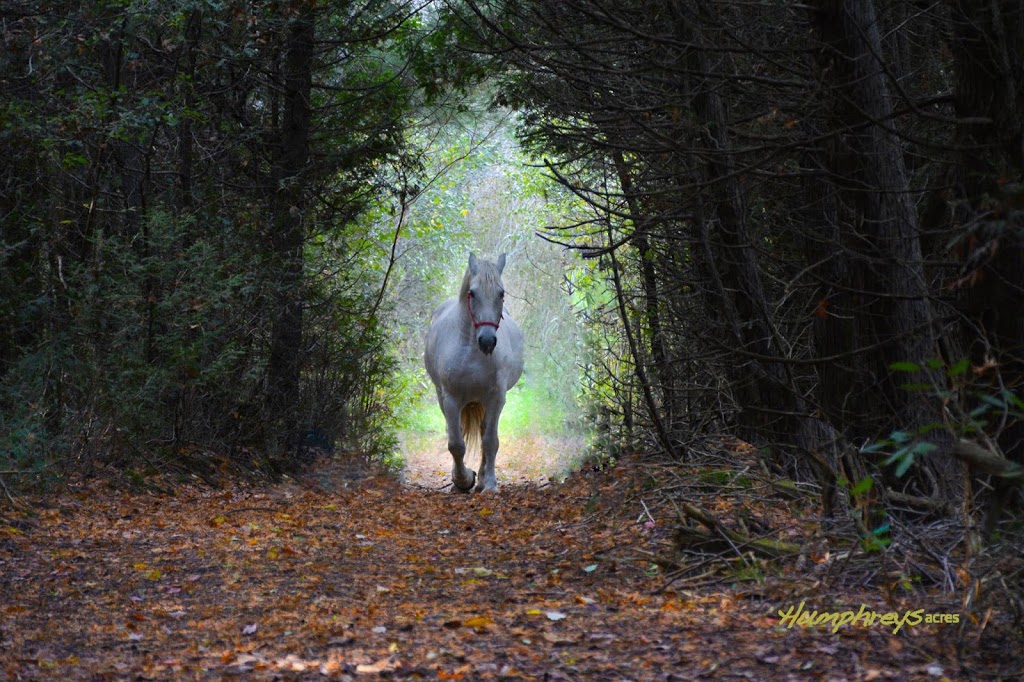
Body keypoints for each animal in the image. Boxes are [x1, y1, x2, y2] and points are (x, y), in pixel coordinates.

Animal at [423, 251, 524, 491]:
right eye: (472, 293)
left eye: (501, 293)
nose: (487, 341)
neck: (471, 351)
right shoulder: (450, 399)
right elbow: (456, 443)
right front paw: (463, 480)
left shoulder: (496, 398)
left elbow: (490, 441)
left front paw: (489, 484)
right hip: (445, 399)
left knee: (484, 431)